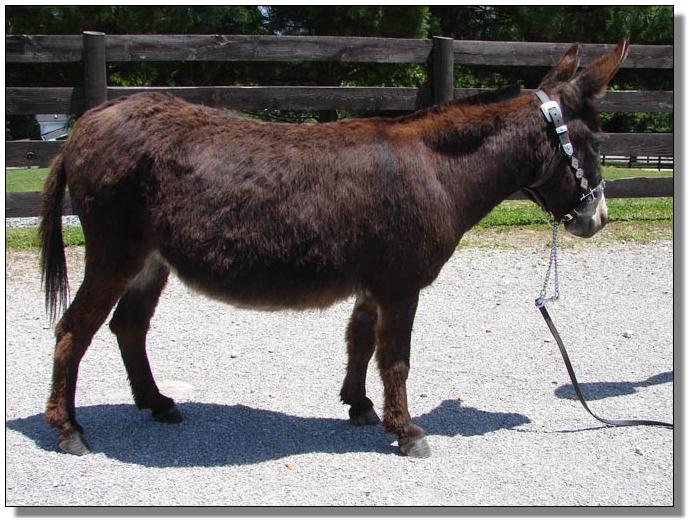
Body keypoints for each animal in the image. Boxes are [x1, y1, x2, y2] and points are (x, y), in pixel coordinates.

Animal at [39, 40, 628, 457]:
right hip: (115, 252)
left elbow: (360, 342)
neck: (439, 172)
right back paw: (69, 430)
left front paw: (360, 406)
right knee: (73, 330)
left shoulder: (375, 283)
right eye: (597, 143)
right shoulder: (401, 284)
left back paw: (157, 403)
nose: (598, 219)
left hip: (150, 260)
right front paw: (406, 431)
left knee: (128, 326)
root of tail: (87, 122)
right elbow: (396, 358)